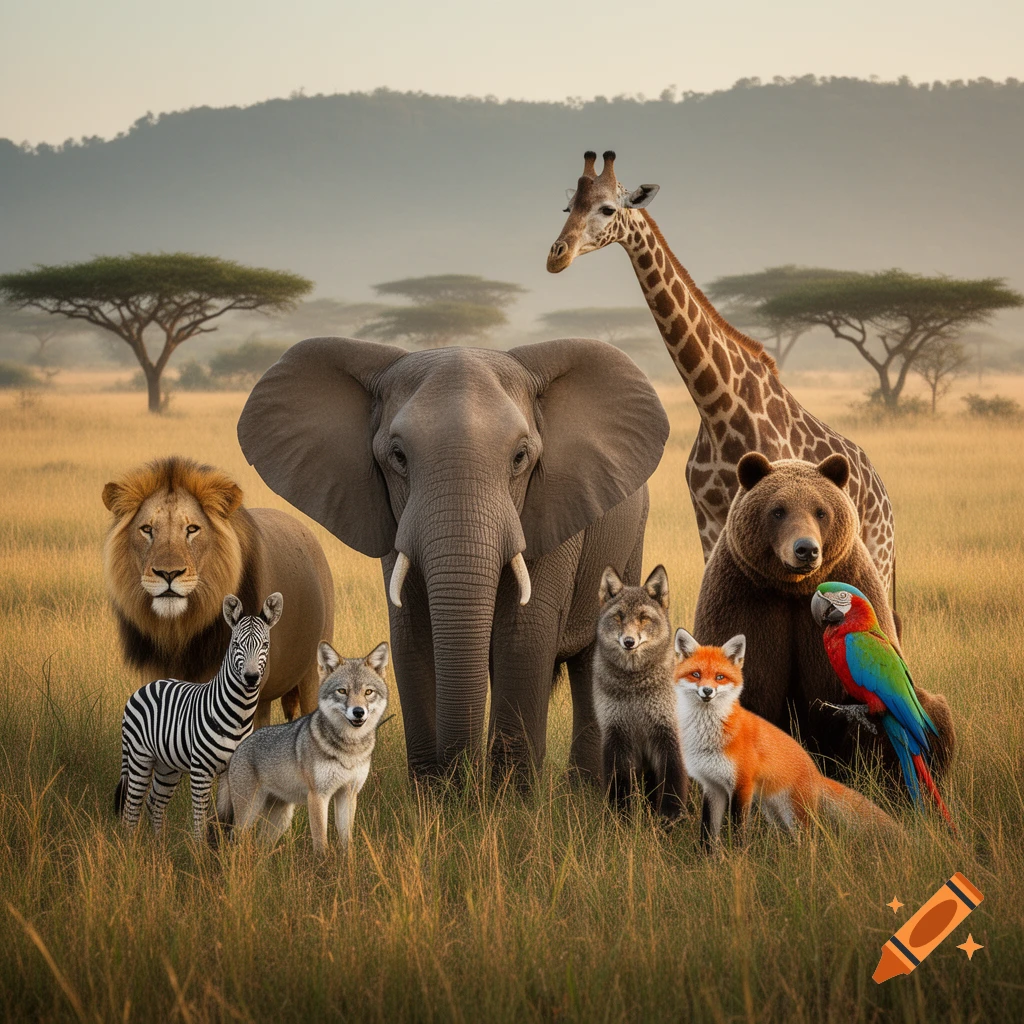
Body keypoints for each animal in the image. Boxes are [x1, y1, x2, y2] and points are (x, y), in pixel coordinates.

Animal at [237, 336, 669, 783]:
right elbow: (411, 634)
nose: (462, 776)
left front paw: (508, 795)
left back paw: (588, 790)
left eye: (520, 457)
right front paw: (435, 793)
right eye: (398, 456)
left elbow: (524, 636)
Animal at [692, 451, 955, 782]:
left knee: (930, 714)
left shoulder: (850, 582)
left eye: (820, 511)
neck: (793, 589)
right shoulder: (744, 600)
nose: (806, 549)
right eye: (778, 511)